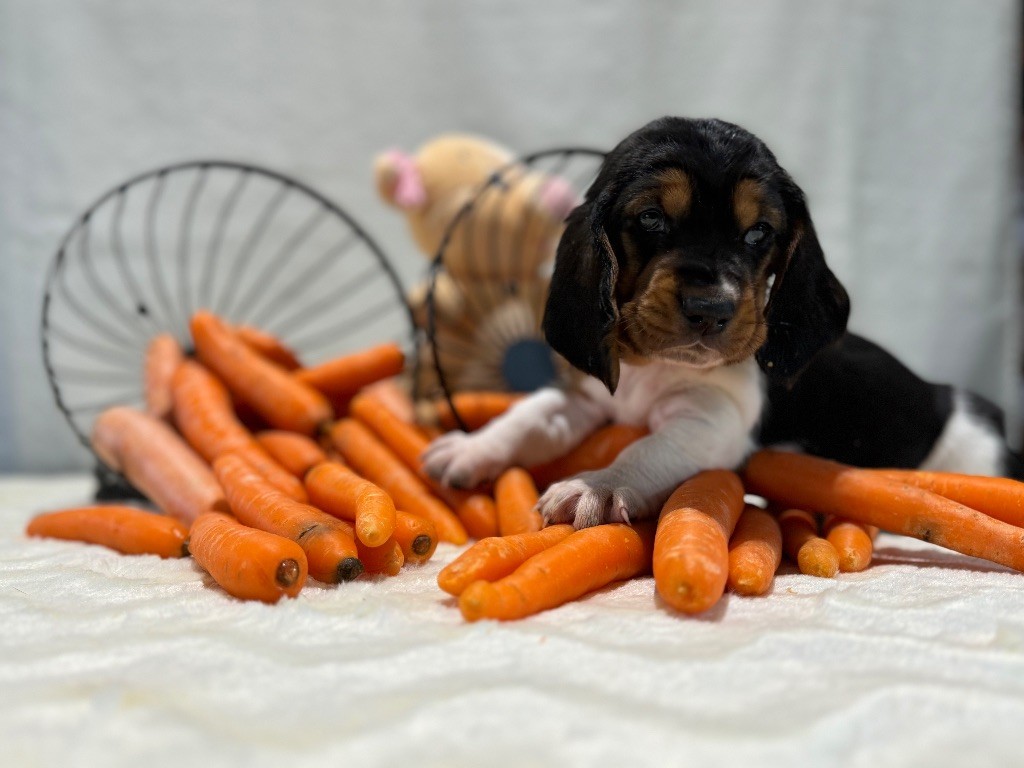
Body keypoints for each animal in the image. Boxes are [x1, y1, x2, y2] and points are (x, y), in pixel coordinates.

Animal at [422, 116, 1023, 529]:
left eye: (759, 233)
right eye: (651, 218)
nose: (711, 307)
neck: (650, 368)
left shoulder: (711, 422)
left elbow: (643, 450)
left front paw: (598, 485)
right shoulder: (586, 398)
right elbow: (528, 415)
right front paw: (469, 448)